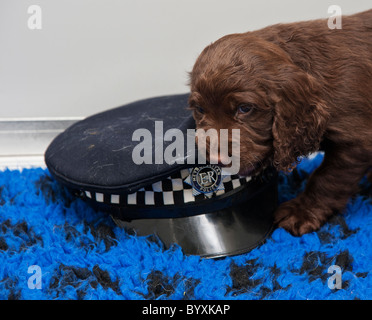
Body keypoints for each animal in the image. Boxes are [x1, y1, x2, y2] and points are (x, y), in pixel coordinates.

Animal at [189, 9, 372, 235]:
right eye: (199, 109)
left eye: (245, 108)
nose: (216, 158)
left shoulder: (356, 143)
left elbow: (327, 179)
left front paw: (301, 212)